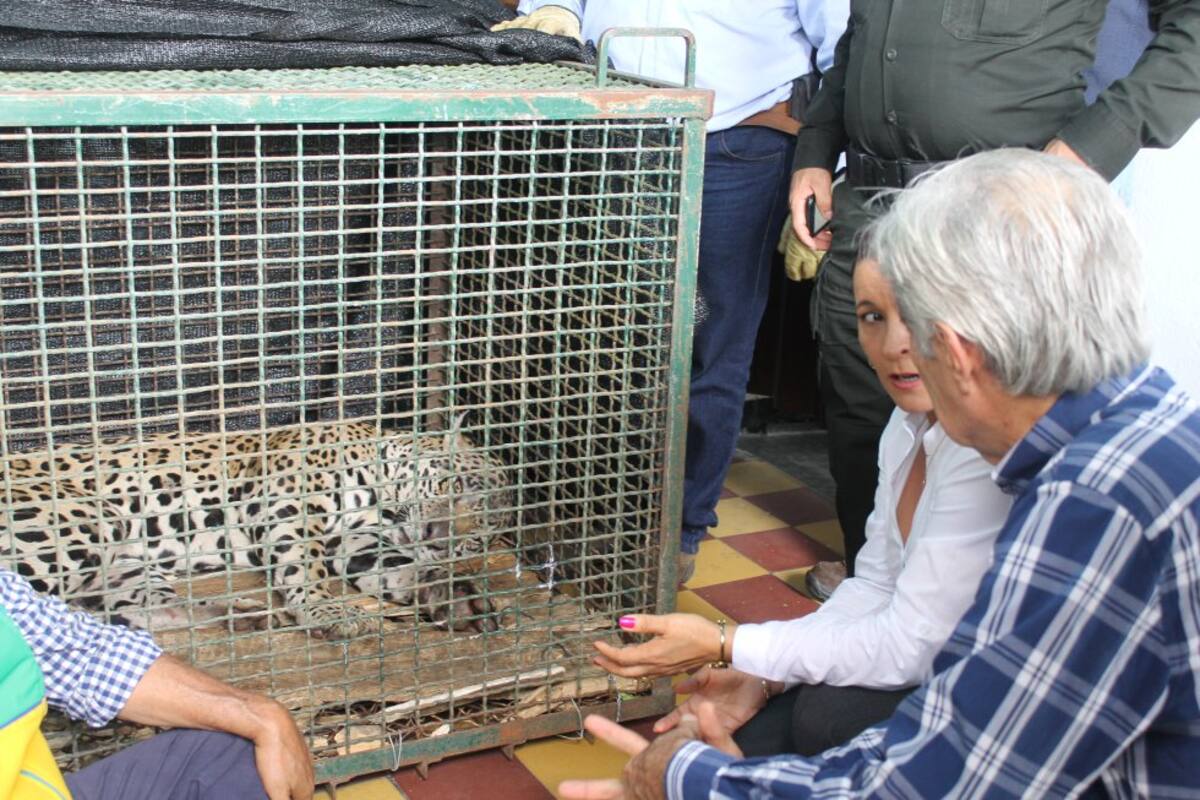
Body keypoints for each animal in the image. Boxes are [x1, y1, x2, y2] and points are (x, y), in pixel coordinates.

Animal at [0, 418, 513, 639]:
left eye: (476, 538)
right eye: (455, 484)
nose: (437, 537)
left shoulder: (358, 538)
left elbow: (393, 567)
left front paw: (451, 596)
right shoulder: (287, 502)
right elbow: (306, 568)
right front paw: (328, 612)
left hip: (121, 565)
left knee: (132, 611)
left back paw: (246, 616)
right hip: (80, 523)